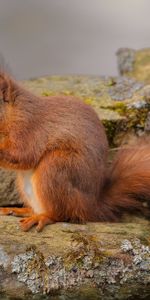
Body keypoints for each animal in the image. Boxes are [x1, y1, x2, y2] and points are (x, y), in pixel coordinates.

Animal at [0, 70, 149, 232]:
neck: (14, 109)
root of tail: (91, 206)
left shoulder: (29, 128)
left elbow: (23, 155)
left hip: (55, 167)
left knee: (60, 214)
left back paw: (42, 217)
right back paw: (18, 210)